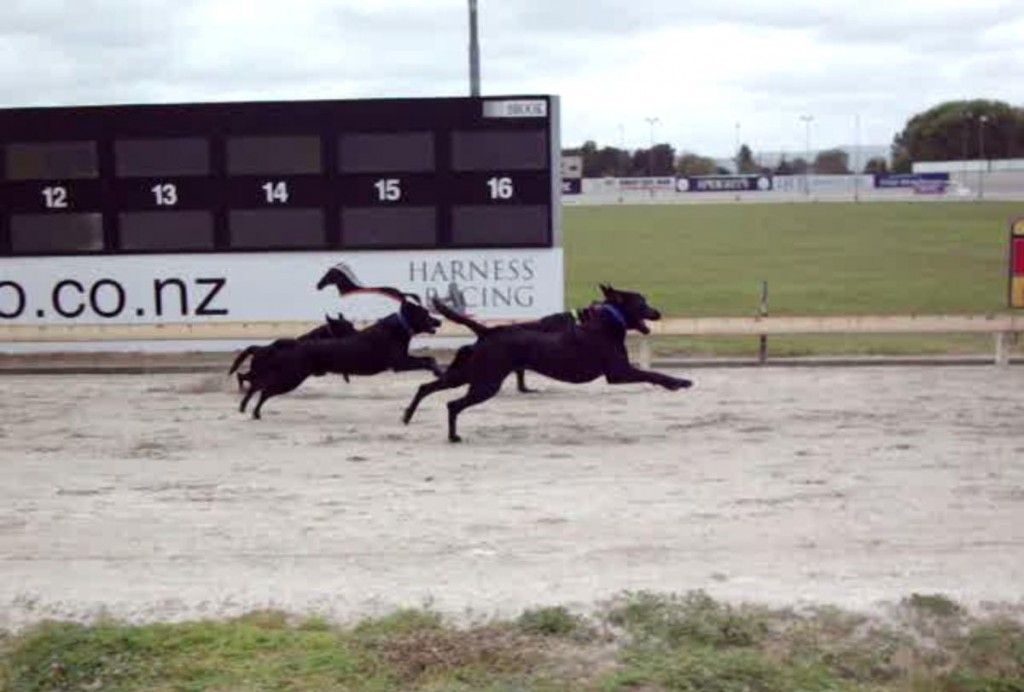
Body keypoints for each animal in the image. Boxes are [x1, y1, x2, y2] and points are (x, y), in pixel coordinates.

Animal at [228, 311, 356, 388]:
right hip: (258, 370)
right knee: (242, 376)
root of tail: (259, 348)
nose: (357, 333)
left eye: (352, 325)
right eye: (348, 327)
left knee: (243, 376)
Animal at [242, 296, 444, 419]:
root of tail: (295, 345)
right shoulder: (398, 363)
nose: (439, 321)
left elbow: (428, 359)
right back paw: (255, 412)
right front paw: (438, 371)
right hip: (291, 378)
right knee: (264, 390)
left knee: (260, 387)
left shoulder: (403, 359)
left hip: (289, 376)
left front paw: (439, 372)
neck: (399, 327)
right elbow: (426, 361)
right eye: (425, 313)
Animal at [403, 284, 692, 444]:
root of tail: (488, 331)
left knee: (427, 387)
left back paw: (407, 415)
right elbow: (653, 374)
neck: (607, 322)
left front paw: (677, 382)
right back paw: (452, 436)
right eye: (642, 302)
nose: (658, 313)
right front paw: (679, 382)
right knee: (452, 404)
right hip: (486, 381)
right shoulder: (618, 372)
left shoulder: (619, 372)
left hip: (469, 372)